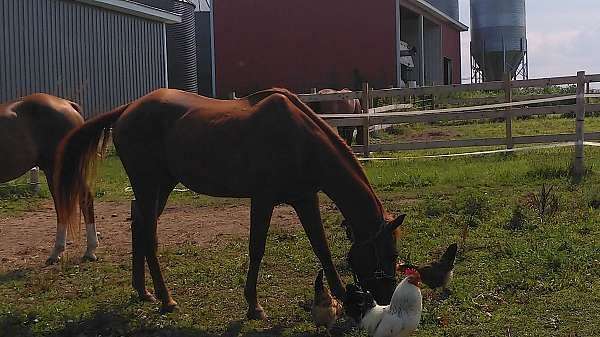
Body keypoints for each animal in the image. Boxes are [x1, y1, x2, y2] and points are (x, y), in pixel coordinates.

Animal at [54, 86, 406, 316]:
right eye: (387, 254)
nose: (386, 296)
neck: (300, 140)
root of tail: (127, 110)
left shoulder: (305, 199)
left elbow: (321, 247)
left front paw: (341, 296)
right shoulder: (263, 200)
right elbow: (257, 248)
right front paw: (253, 305)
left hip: (160, 187)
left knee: (139, 225)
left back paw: (143, 291)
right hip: (149, 184)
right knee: (148, 234)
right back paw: (167, 299)